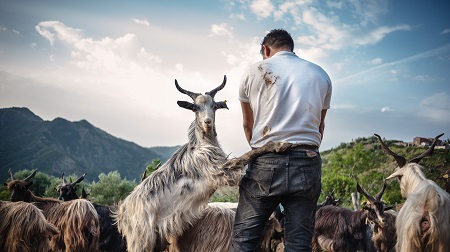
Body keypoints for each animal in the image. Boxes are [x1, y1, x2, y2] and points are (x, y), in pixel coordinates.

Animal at [112, 76, 246, 251]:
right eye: (195, 108)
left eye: (214, 106)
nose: (208, 122)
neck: (202, 145)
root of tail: (122, 212)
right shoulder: (219, 170)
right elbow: (244, 160)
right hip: (140, 240)